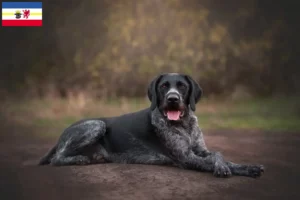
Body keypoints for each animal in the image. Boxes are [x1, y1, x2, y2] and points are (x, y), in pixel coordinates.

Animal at [38, 73, 264, 178]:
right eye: (164, 86)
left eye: (182, 86)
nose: (173, 99)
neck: (184, 124)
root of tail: (62, 134)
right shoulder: (185, 158)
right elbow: (212, 161)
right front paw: (224, 169)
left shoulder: (200, 150)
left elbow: (219, 155)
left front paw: (246, 167)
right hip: (97, 124)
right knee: (57, 158)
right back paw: (78, 159)